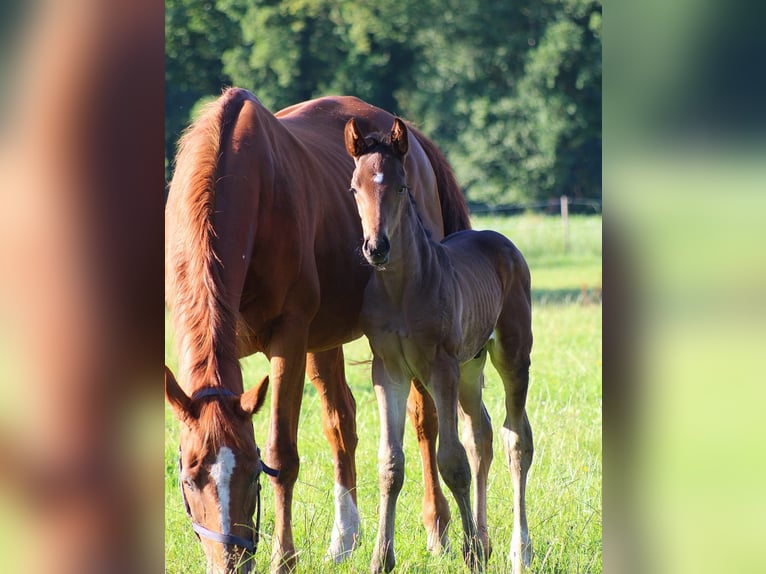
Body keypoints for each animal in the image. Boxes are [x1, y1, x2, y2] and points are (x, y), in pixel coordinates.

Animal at [165, 88, 472, 572]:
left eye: (251, 472)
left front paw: (283, 558)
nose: (232, 561)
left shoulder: (288, 338)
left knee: (425, 421)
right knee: (341, 423)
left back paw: (436, 528)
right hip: (322, 341)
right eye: (191, 477)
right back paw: (344, 538)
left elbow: (283, 454)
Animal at [346, 118, 536, 574]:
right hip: (471, 366)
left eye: (400, 187)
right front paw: (381, 557)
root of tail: (502, 241)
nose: (376, 247)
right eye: (355, 188)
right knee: (482, 435)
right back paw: (485, 539)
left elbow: (452, 461)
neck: (402, 291)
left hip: (511, 356)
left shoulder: (441, 367)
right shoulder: (388, 372)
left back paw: (518, 550)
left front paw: (471, 555)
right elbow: (390, 463)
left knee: (516, 439)